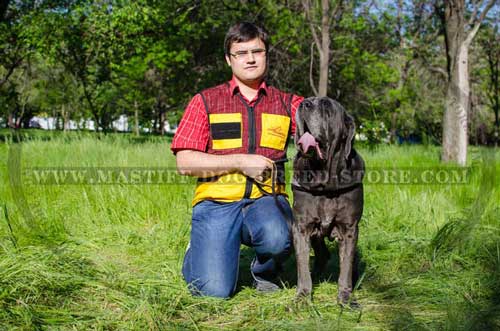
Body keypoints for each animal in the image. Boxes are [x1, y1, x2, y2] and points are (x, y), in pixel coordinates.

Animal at [292, 97, 364, 308]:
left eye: (326, 105)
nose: (304, 104)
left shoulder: (349, 229)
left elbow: (346, 267)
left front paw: (346, 298)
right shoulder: (301, 227)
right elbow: (302, 265)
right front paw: (303, 296)